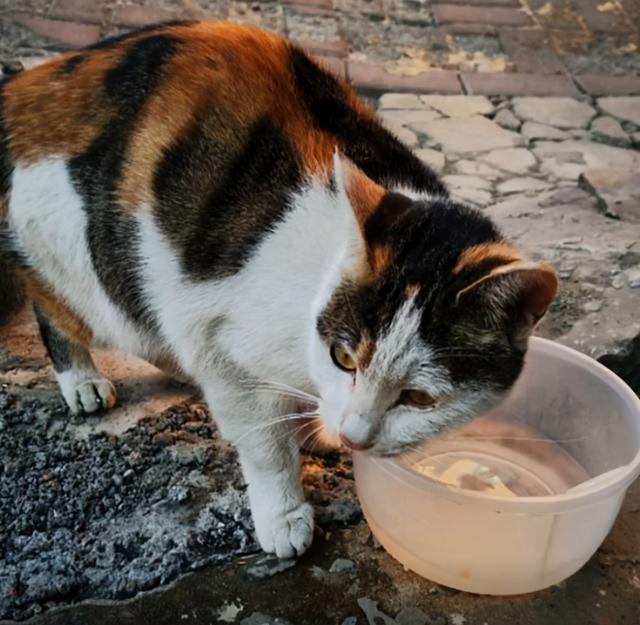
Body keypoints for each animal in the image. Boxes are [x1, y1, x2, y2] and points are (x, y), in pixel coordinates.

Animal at [0, 20, 556, 556]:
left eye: (419, 399)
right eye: (345, 358)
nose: (355, 438)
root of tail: (28, 81)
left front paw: (315, 428)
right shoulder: (220, 333)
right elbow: (264, 443)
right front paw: (284, 514)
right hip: (71, 248)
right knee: (63, 309)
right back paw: (82, 380)